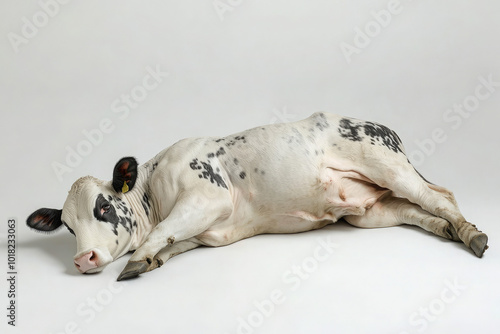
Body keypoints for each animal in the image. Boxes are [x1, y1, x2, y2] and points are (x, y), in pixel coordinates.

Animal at [26, 113, 488, 280]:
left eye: (103, 205)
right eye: (68, 226)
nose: (83, 259)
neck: (153, 190)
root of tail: (383, 127)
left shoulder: (209, 198)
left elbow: (162, 232)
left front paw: (138, 260)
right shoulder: (204, 231)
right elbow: (170, 241)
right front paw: (149, 260)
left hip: (388, 166)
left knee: (439, 196)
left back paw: (473, 235)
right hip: (371, 210)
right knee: (420, 212)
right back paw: (451, 232)